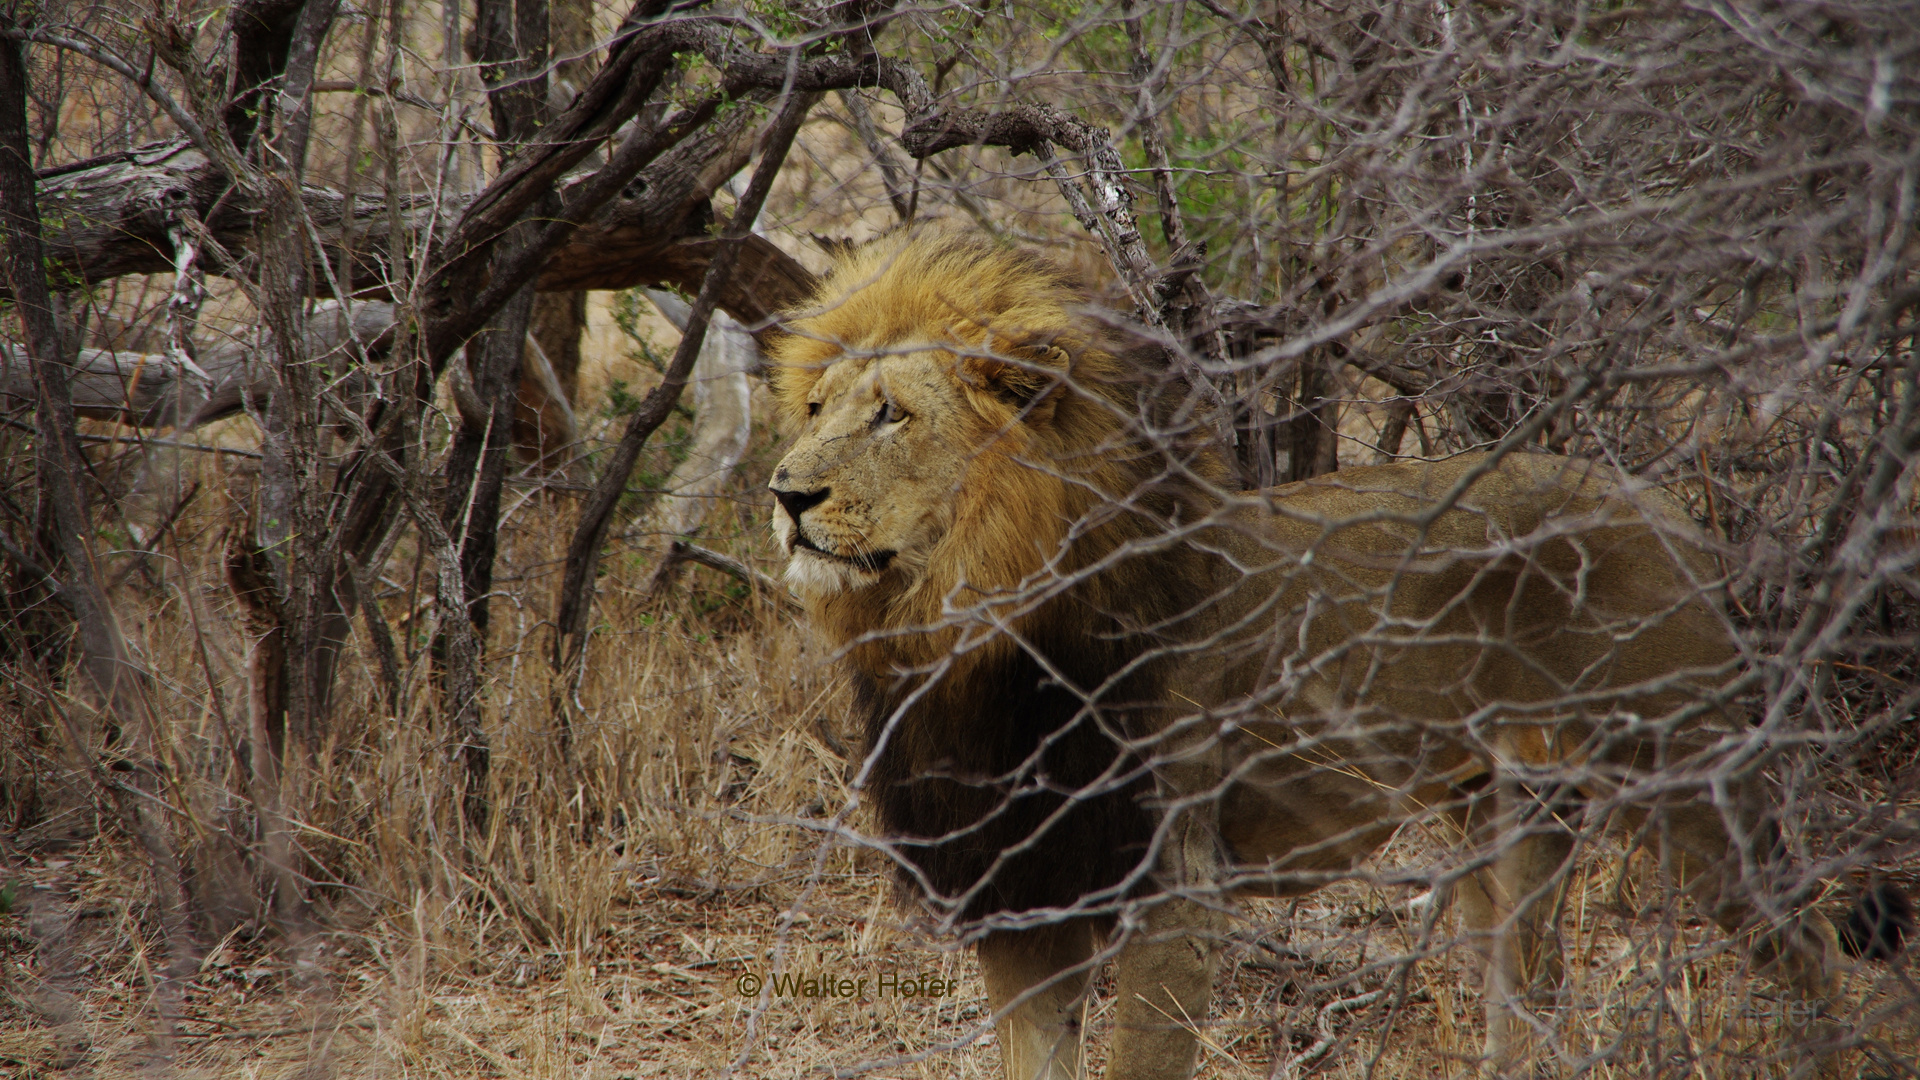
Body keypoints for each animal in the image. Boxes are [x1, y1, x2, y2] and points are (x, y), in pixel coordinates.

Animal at [764, 228, 1904, 1076]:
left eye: (893, 415)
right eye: (814, 409)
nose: (786, 493)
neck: (958, 637)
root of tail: (1671, 509)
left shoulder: (1172, 896)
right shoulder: (1019, 902)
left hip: (1689, 776)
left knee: (1811, 954)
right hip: (1504, 811)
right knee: (1530, 997)